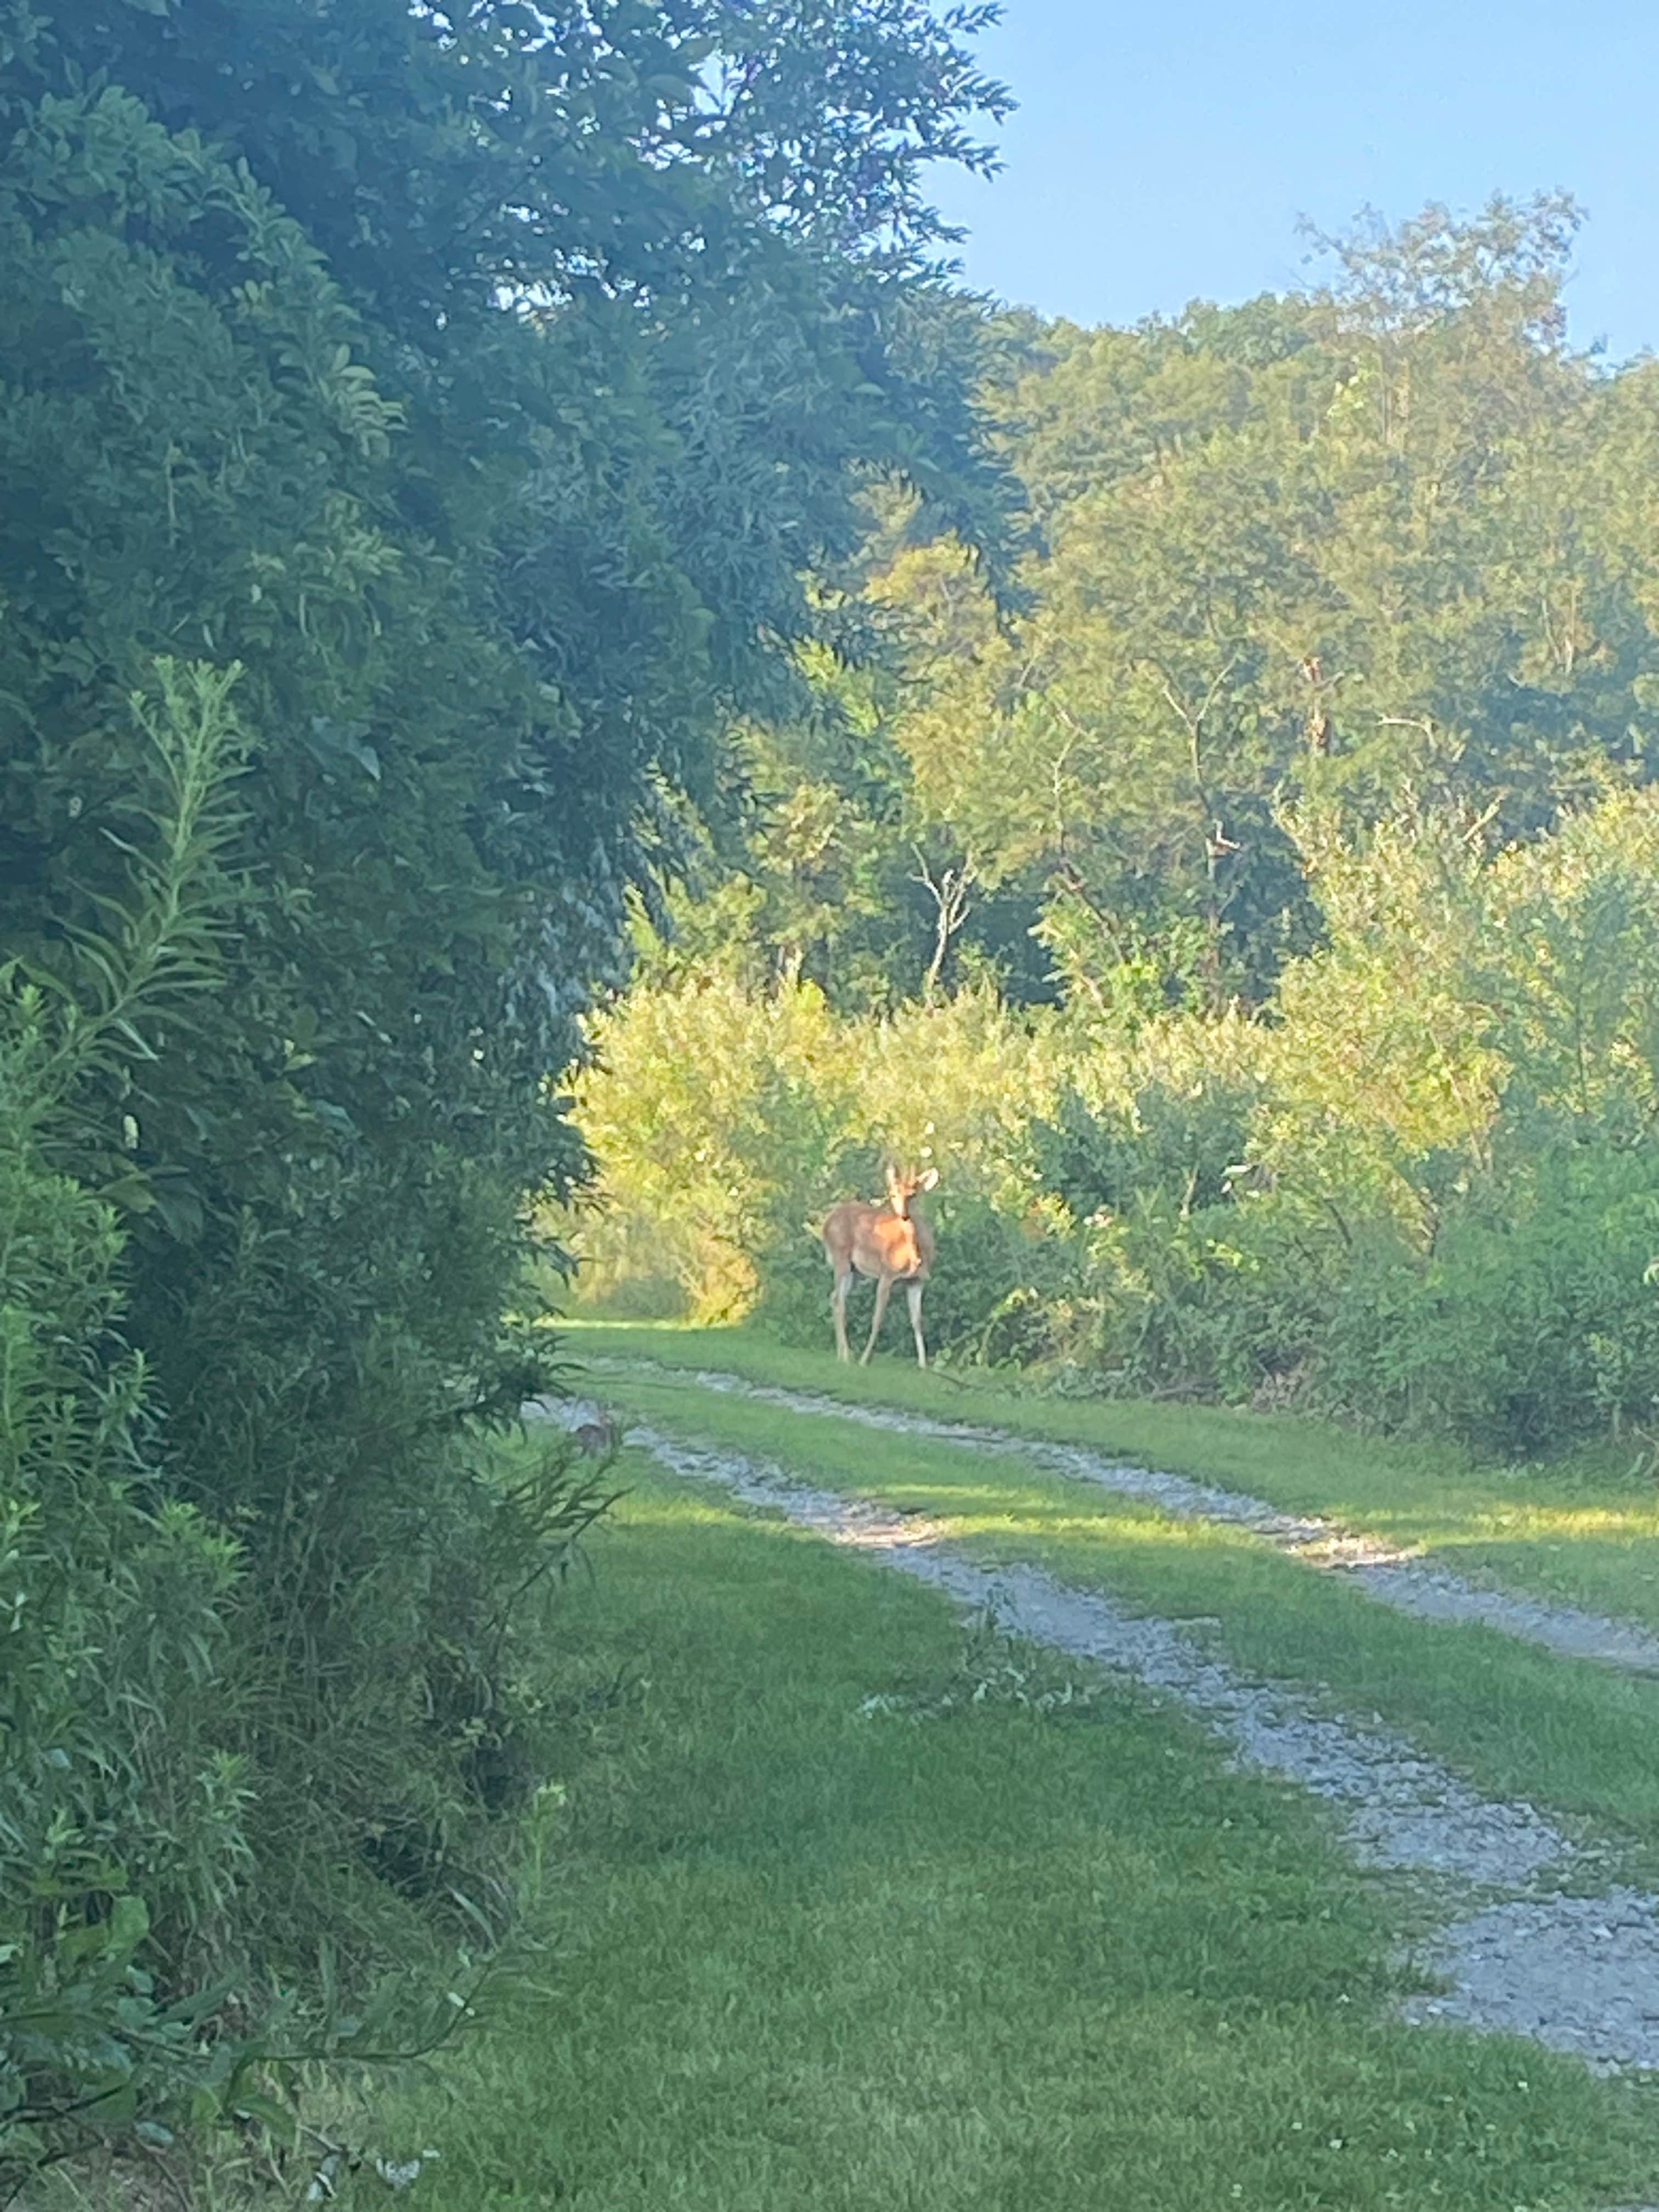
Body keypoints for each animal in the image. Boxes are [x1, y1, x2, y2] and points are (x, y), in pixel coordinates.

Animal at [827, 1159, 942, 1362]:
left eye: (913, 1195)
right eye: (894, 1194)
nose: (904, 1216)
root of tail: (827, 1222)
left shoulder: (917, 1281)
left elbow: (917, 1320)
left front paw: (923, 1364)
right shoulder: (887, 1274)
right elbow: (878, 1318)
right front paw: (864, 1360)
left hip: (854, 1270)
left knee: (834, 1297)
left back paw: (841, 1355)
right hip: (840, 1257)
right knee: (840, 1301)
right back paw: (847, 1357)